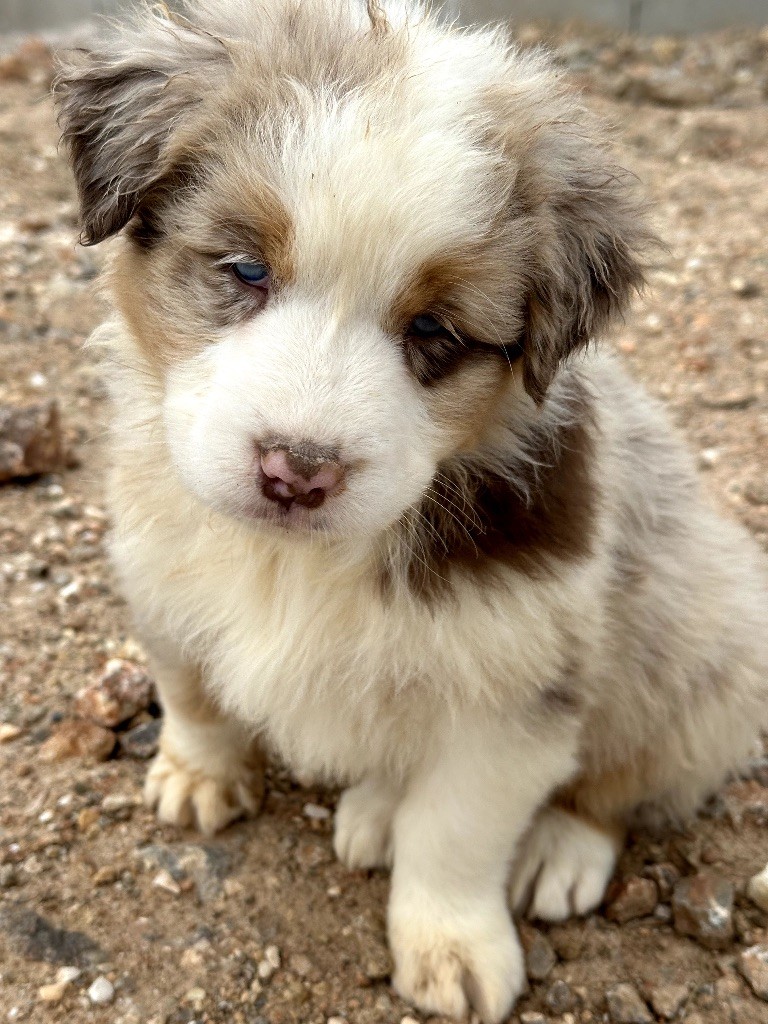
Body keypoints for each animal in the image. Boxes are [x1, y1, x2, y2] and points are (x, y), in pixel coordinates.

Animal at [57, 4, 768, 1019]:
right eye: (245, 269)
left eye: (433, 330)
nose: (296, 472)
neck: (294, 559)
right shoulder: (158, 566)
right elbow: (190, 687)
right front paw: (198, 773)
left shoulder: (516, 693)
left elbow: (457, 833)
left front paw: (454, 948)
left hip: (700, 645)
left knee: (625, 776)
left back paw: (559, 849)